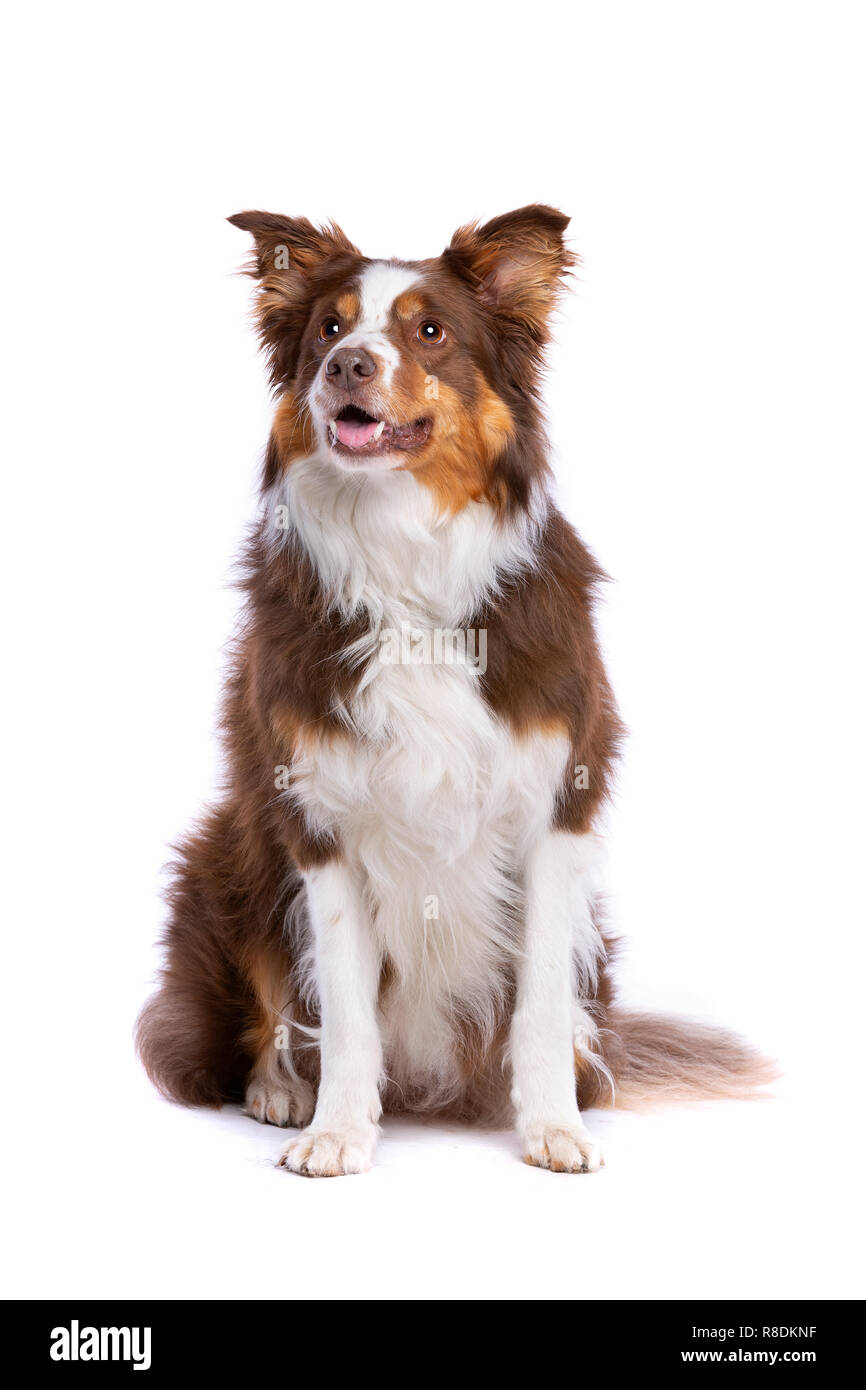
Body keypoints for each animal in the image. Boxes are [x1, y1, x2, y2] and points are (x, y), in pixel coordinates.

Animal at [136, 205, 772, 1173]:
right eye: (329, 328)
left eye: (429, 332)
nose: (346, 367)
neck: (404, 560)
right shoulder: (317, 822)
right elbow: (344, 1007)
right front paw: (338, 1132)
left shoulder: (556, 808)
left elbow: (540, 998)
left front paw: (553, 1126)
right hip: (227, 856)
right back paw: (281, 1091)